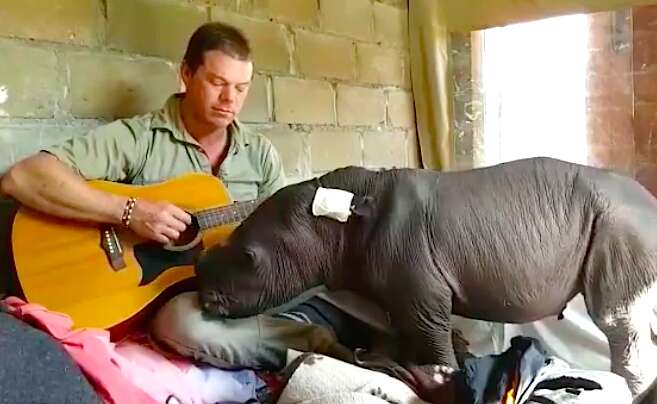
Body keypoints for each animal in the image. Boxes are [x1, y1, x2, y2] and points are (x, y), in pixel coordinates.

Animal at [196, 156, 657, 400]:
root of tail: (650, 200)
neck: (335, 225)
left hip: (622, 225)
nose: (204, 297)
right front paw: (434, 363)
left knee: (618, 320)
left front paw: (442, 377)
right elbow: (409, 330)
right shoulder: (389, 284)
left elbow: (429, 333)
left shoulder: (416, 282)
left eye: (249, 258)